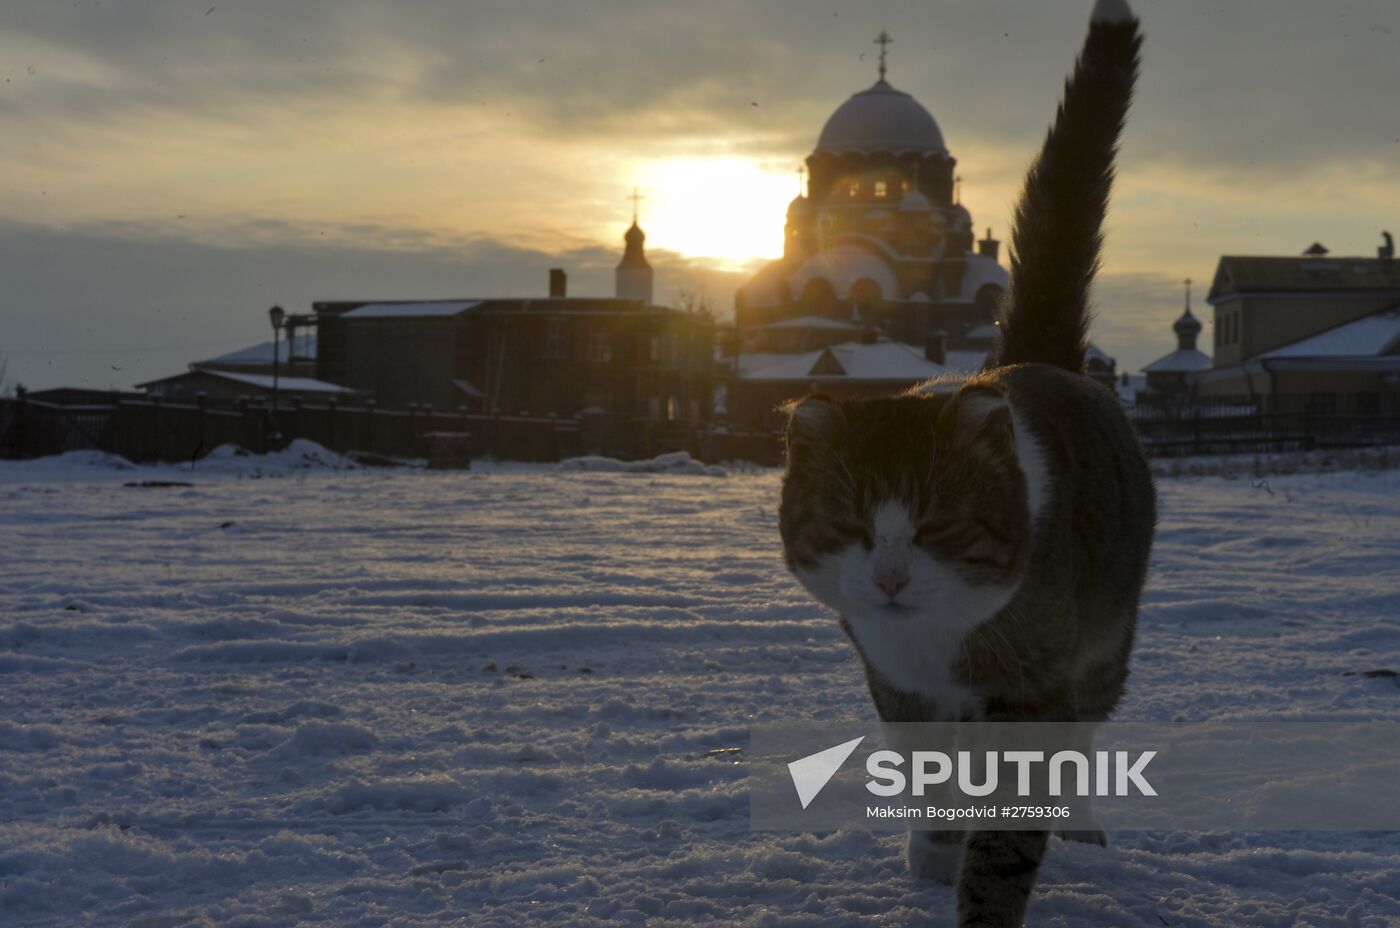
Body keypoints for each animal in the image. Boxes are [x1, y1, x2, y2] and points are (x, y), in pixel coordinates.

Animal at [778, 3, 1148, 923]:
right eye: (847, 521)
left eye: (941, 521)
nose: (890, 578)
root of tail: (1032, 360)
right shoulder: (900, 687)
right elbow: (934, 780)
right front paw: (933, 855)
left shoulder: (1031, 696)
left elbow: (1009, 831)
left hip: (1102, 654)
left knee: (1083, 738)